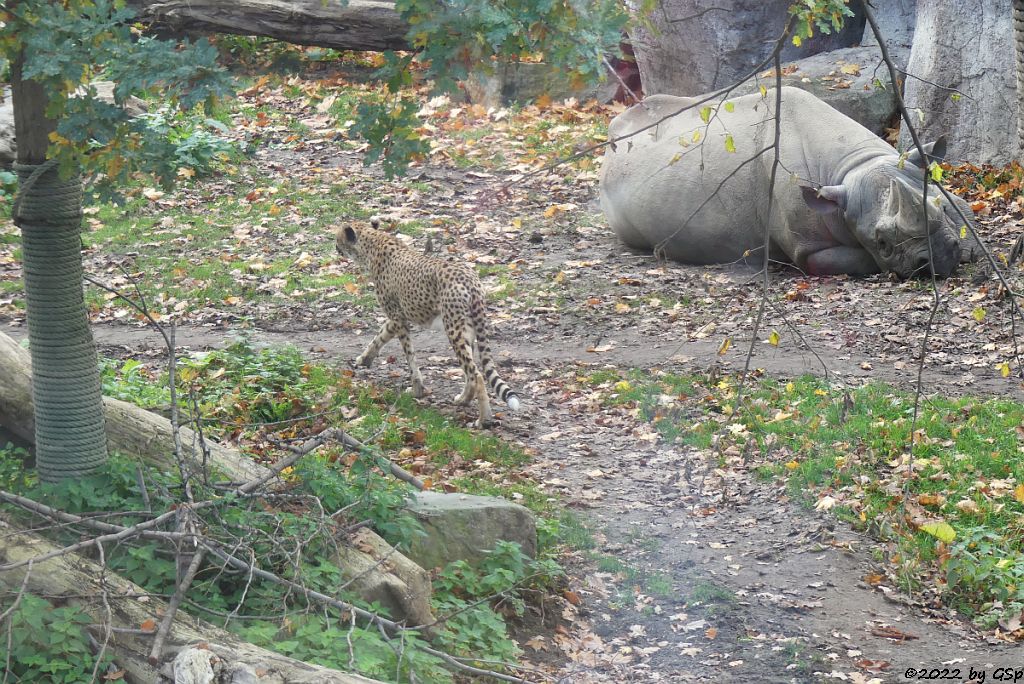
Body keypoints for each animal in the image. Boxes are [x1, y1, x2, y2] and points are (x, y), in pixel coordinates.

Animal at [337, 219, 520, 423]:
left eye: (338, 237)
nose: (336, 247)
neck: (373, 243)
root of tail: (470, 279)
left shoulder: (398, 318)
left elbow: (409, 356)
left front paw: (416, 388)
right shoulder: (397, 317)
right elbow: (380, 335)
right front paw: (364, 359)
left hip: (454, 329)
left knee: (476, 374)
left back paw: (483, 419)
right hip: (467, 329)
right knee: (470, 371)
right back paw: (463, 399)